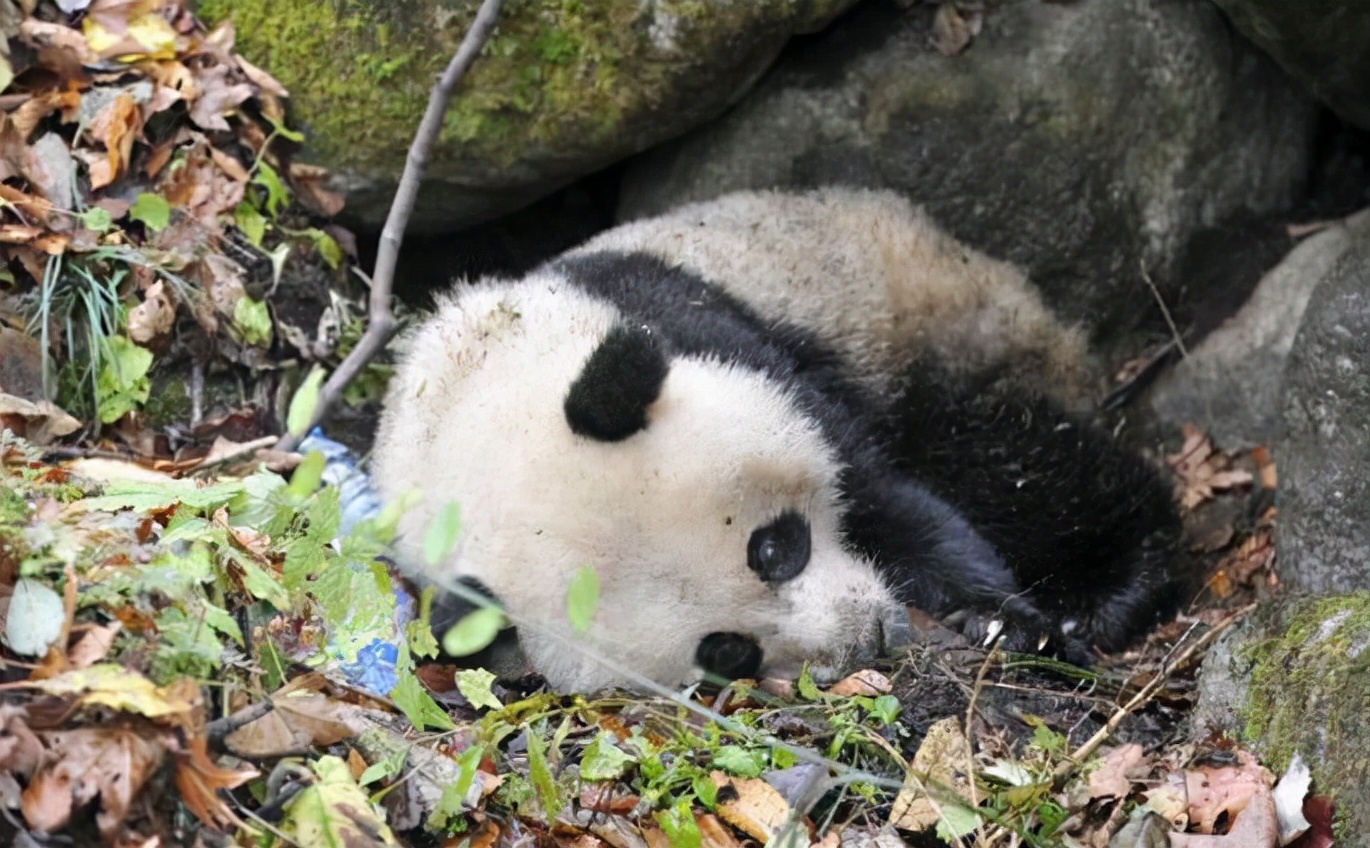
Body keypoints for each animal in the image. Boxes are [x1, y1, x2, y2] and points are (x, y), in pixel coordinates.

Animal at [369, 187, 1183, 695]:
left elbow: (889, 497)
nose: (867, 637)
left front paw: (1007, 623)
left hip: (936, 329)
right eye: (726, 650)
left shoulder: (715, 334)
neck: (462, 391)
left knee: (1017, 462)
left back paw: (1115, 586)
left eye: (772, 546)